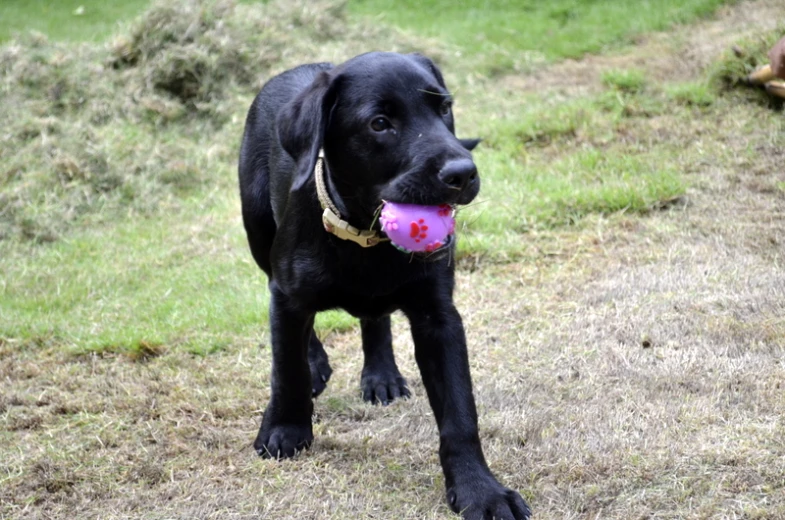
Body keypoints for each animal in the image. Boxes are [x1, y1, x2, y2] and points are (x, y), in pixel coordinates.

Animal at [236, 51, 528, 520]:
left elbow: (460, 412)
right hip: (259, 235)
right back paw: (318, 365)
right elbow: (287, 367)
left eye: (444, 108)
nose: (463, 173)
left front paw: (480, 490)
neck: (365, 237)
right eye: (379, 123)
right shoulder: (287, 294)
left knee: (375, 318)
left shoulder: (438, 317)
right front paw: (285, 429)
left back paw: (382, 375)